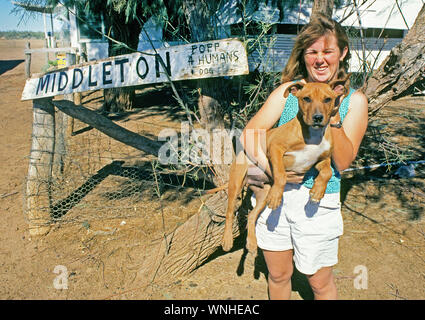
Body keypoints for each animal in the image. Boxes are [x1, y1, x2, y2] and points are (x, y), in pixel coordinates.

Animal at [220, 75, 350, 255]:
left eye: (328, 99)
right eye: (306, 98)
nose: (318, 118)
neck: (313, 134)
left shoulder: (322, 160)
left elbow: (327, 173)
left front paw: (317, 191)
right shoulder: (275, 148)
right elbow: (281, 175)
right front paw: (277, 197)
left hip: (263, 193)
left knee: (252, 216)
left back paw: (252, 243)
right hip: (236, 183)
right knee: (230, 212)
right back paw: (227, 240)